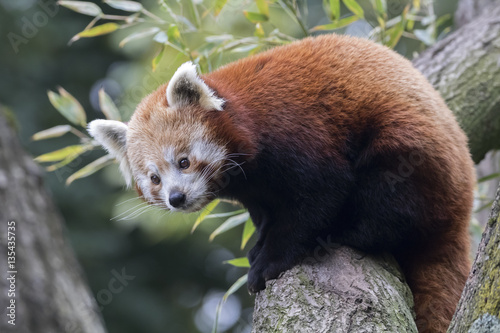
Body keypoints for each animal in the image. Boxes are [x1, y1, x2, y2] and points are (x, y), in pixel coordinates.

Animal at [88, 34, 474, 332]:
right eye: (154, 178)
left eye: (183, 161)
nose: (176, 197)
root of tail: (462, 208)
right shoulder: (255, 188)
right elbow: (267, 212)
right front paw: (259, 242)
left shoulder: (294, 129)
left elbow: (320, 193)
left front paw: (268, 262)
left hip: (410, 153)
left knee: (390, 201)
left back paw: (348, 230)